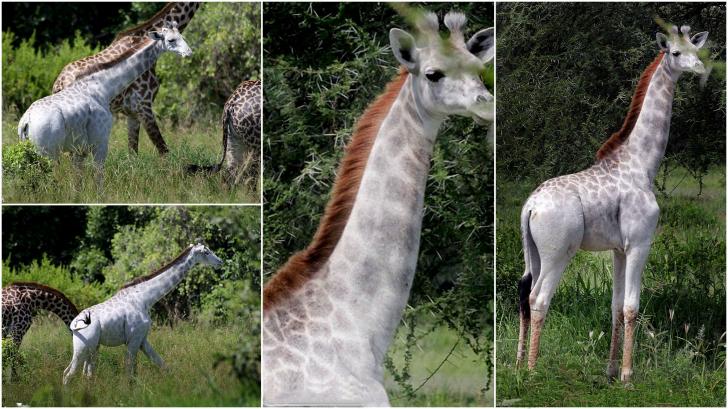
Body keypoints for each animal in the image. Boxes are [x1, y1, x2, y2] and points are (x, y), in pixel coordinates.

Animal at [18, 23, 192, 170]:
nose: (189, 53)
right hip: (48, 152)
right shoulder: (100, 140)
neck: (103, 87)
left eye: (182, 36)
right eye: (171, 40)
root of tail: (25, 122)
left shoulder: (80, 148)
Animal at [53, 2, 201, 155]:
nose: (189, 53)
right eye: (171, 40)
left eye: (183, 37)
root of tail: (59, 83)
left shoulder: (132, 113)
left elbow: (133, 152)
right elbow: (163, 150)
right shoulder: (144, 106)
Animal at [62, 243, 222, 384]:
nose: (220, 262)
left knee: (85, 375)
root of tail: (74, 324)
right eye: (206, 252)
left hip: (93, 348)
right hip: (83, 348)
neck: (145, 298)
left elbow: (161, 364)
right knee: (68, 374)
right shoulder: (133, 339)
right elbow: (129, 372)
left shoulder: (142, 339)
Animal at [516, 25, 709, 383]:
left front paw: (610, 371)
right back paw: (533, 371)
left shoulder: (619, 249)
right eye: (675, 52)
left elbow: (616, 306)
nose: (700, 67)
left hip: (532, 251)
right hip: (557, 252)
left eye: (696, 48)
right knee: (539, 297)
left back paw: (519, 363)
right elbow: (632, 306)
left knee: (524, 292)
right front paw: (628, 376)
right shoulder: (640, 243)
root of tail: (530, 206)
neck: (643, 164)